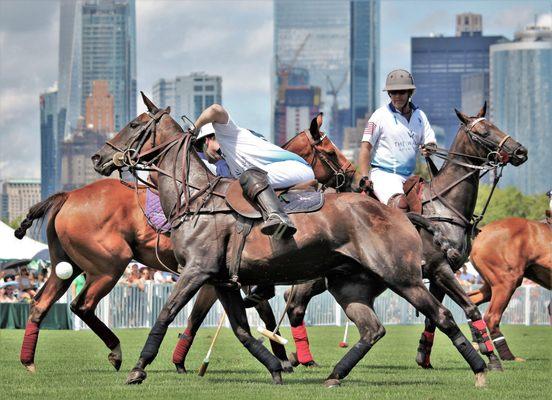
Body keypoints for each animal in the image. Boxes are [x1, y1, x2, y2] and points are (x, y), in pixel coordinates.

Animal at [15, 180, 292, 374]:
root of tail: (69, 195)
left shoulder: (214, 277)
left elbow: (201, 317)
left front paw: (179, 362)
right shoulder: (217, 276)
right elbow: (263, 314)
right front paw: (283, 358)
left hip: (67, 267)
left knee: (40, 304)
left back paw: (28, 361)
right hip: (109, 266)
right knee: (82, 305)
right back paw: (116, 351)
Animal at [92, 94, 490, 388]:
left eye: (134, 125)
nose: (98, 156)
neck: (195, 197)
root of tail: (399, 213)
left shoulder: (196, 271)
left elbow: (166, 313)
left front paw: (138, 368)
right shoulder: (221, 280)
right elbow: (242, 330)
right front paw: (277, 366)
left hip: (402, 276)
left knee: (442, 315)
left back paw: (482, 368)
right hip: (349, 285)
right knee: (372, 328)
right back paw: (334, 375)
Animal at [466, 217, 552, 360]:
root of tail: (480, 233)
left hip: (491, 285)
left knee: (470, 300)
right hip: (506, 281)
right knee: (492, 316)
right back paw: (509, 356)